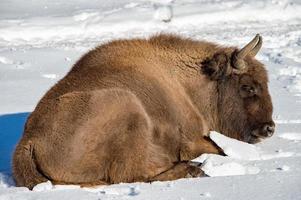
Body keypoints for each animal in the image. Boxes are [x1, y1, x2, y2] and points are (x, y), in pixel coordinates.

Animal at [12, 33, 274, 188]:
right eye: (247, 86)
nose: (269, 128)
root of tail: (29, 140)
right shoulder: (193, 139)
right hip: (127, 106)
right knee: (131, 175)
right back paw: (193, 169)